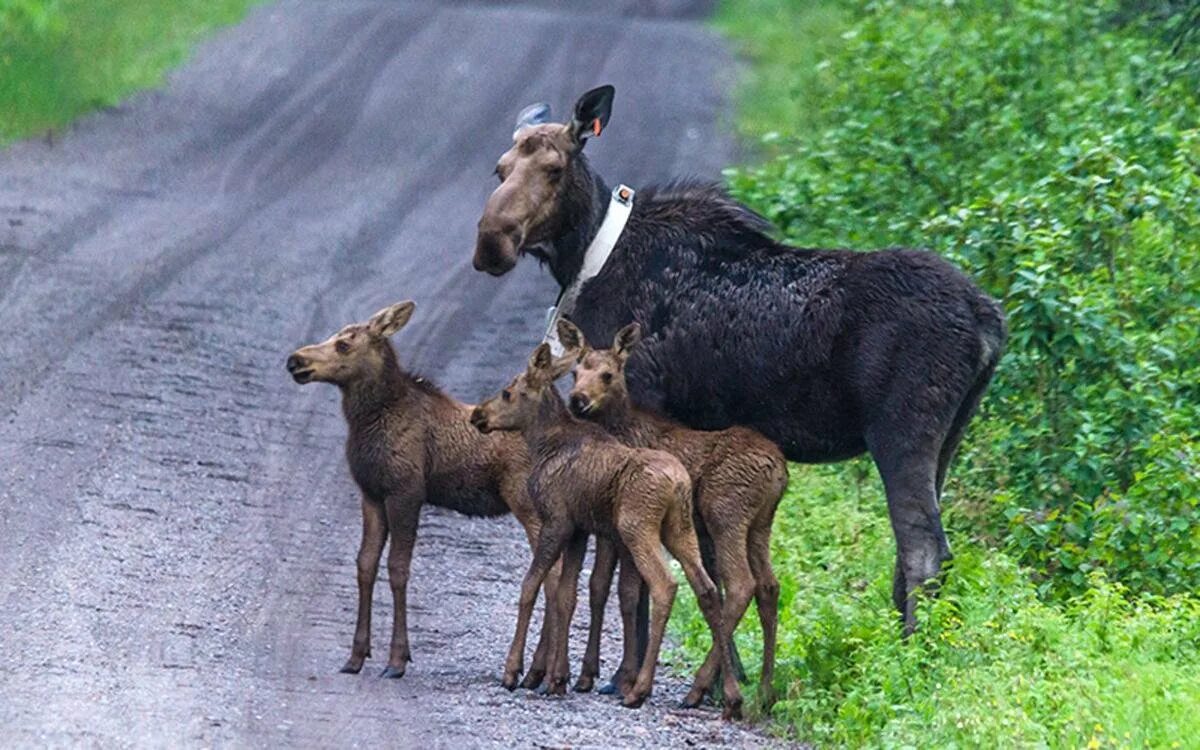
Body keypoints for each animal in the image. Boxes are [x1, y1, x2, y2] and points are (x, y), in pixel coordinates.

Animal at [288, 300, 559, 686]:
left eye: (343, 344)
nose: (295, 360)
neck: (368, 422)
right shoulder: (372, 494)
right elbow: (365, 564)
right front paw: (356, 656)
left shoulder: (406, 492)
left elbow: (398, 568)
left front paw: (396, 660)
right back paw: (544, 670)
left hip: (528, 503)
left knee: (551, 574)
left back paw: (525, 669)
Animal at [468, 343, 739, 715]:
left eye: (508, 393)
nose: (478, 415)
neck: (542, 443)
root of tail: (679, 483)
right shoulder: (579, 530)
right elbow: (566, 595)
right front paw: (558, 678)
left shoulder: (556, 520)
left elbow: (530, 587)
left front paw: (514, 671)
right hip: (680, 530)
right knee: (708, 589)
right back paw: (730, 694)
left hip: (637, 528)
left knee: (665, 585)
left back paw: (639, 689)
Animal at [472, 83, 1008, 633]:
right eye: (499, 169)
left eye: (555, 168)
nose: (492, 242)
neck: (585, 258)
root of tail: (988, 319)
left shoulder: (640, 405)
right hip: (950, 434)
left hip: (901, 429)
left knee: (923, 549)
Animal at [559, 319, 792, 705]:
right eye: (575, 372)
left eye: (608, 374)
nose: (578, 400)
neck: (621, 429)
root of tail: (779, 470)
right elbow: (602, 586)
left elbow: (624, 592)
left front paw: (619, 677)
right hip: (761, 524)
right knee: (769, 586)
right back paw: (765, 690)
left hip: (724, 513)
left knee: (740, 584)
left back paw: (701, 687)